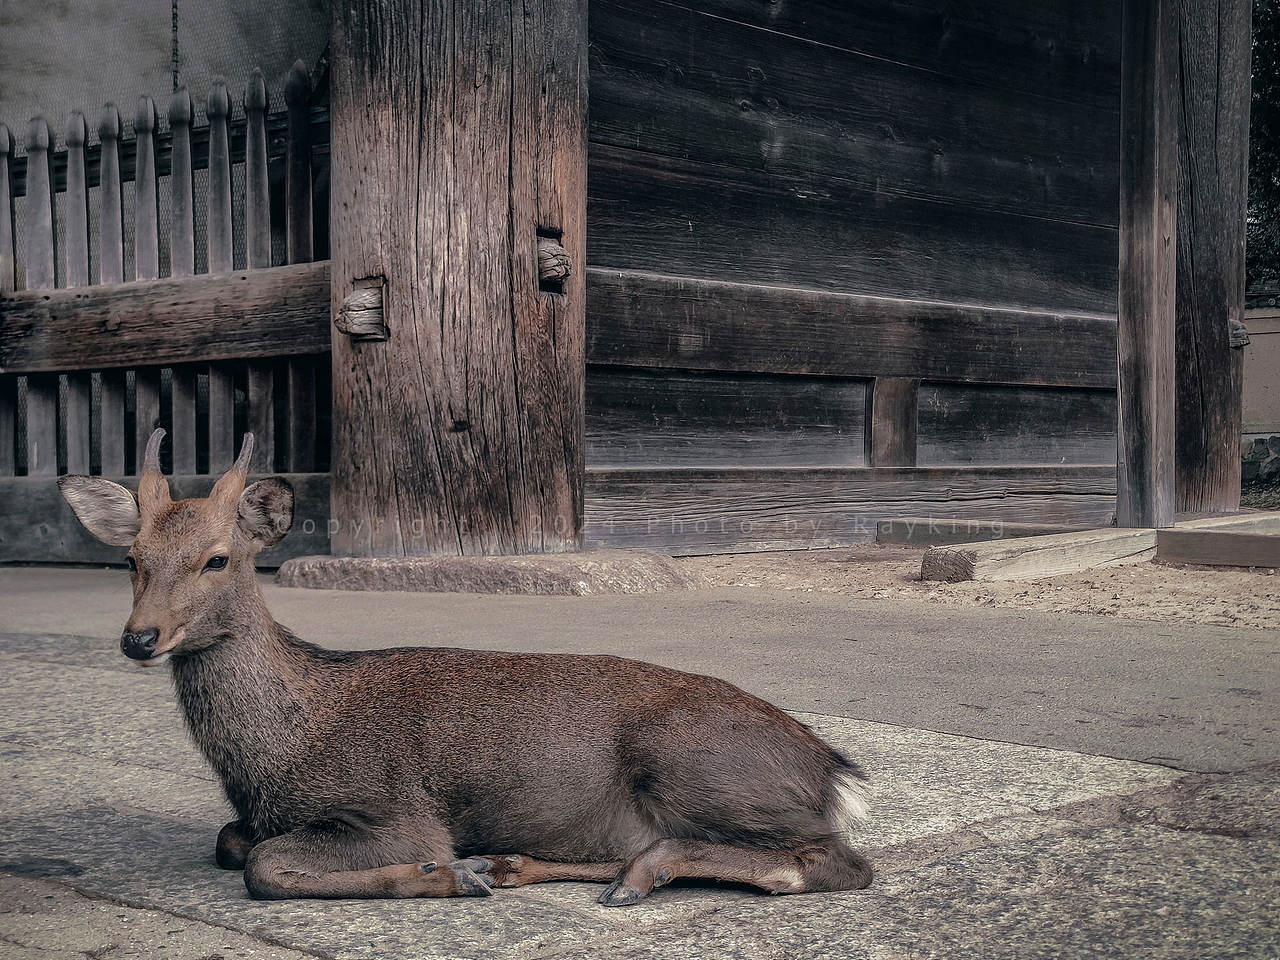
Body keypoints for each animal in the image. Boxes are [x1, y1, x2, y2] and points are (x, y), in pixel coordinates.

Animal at [57, 428, 874, 904]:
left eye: (217, 558)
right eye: (131, 559)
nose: (140, 638)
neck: (274, 749)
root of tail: (834, 770)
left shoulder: (396, 812)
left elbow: (265, 866)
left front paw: (445, 874)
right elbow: (233, 842)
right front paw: (470, 870)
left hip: (702, 768)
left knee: (837, 861)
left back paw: (631, 873)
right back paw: (523, 865)